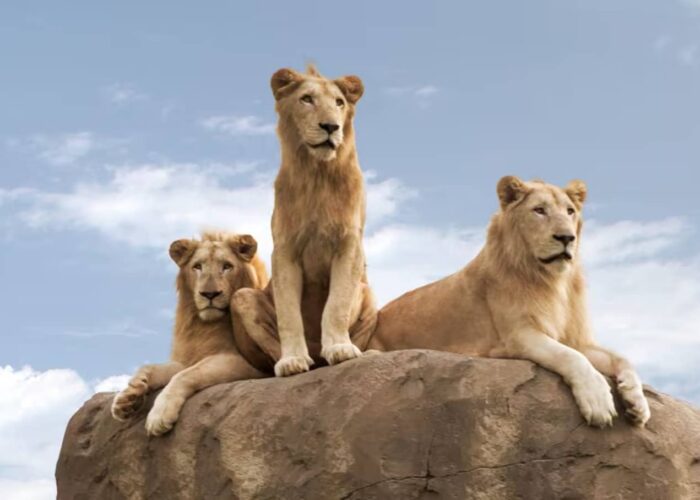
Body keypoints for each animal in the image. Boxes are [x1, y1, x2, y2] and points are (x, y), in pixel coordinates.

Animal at [111, 232, 269, 436]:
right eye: (197, 267)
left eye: (227, 266)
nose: (210, 294)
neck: (203, 325)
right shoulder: (188, 358)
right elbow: (152, 367)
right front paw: (128, 396)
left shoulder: (250, 363)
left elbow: (186, 374)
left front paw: (159, 415)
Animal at [230, 65, 378, 377]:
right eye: (307, 99)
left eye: (339, 103)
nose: (331, 127)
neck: (316, 174)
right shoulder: (285, 250)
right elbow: (288, 314)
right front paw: (292, 360)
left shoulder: (349, 246)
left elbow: (337, 304)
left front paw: (340, 349)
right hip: (242, 297)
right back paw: (293, 364)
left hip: (368, 292)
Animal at [367, 176, 650, 428]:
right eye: (539, 210)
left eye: (570, 211)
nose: (566, 238)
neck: (553, 280)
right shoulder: (519, 335)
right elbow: (571, 357)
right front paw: (598, 402)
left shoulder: (575, 338)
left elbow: (620, 358)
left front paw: (638, 403)